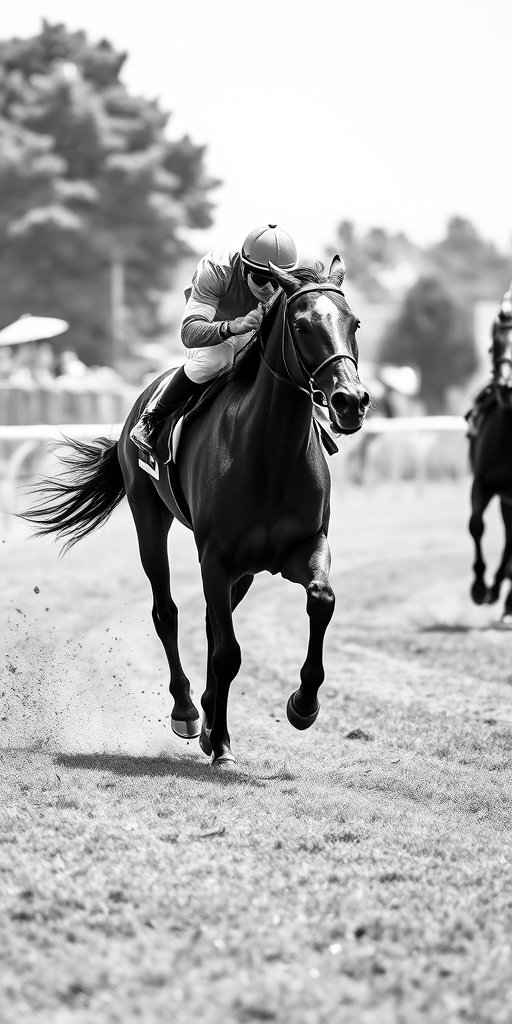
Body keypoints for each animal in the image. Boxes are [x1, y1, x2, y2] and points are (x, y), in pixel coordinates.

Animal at [21, 257, 369, 764]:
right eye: (302, 325)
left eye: (354, 323)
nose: (351, 401)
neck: (271, 455)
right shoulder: (216, 557)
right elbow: (228, 652)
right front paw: (220, 739)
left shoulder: (302, 546)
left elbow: (321, 599)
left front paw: (302, 705)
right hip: (150, 519)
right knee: (167, 612)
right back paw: (188, 711)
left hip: (242, 570)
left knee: (208, 622)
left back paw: (206, 714)